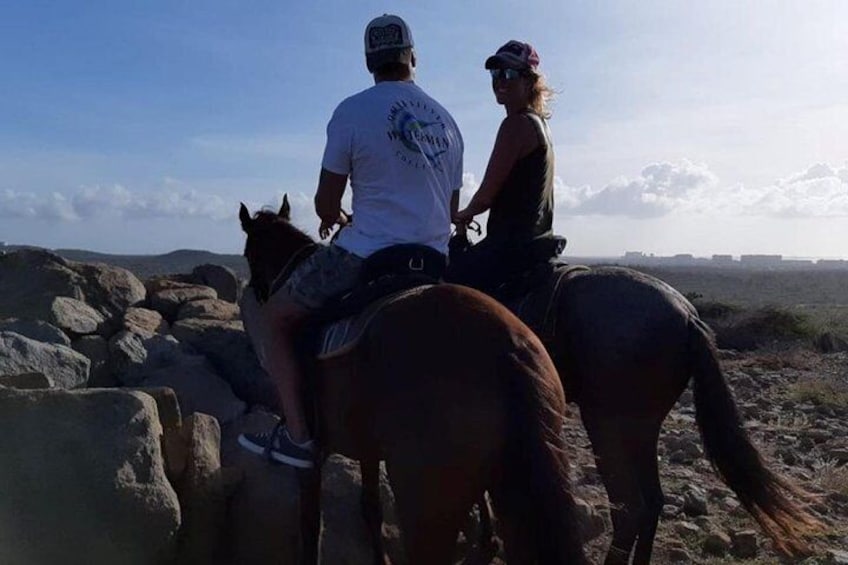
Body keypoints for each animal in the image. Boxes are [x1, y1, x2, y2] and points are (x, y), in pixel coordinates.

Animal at [235, 202, 588, 564]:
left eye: (249, 253)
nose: (258, 293)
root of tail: (506, 349)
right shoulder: (368, 448)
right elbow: (370, 508)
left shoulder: (312, 456)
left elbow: (310, 524)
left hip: (427, 508)